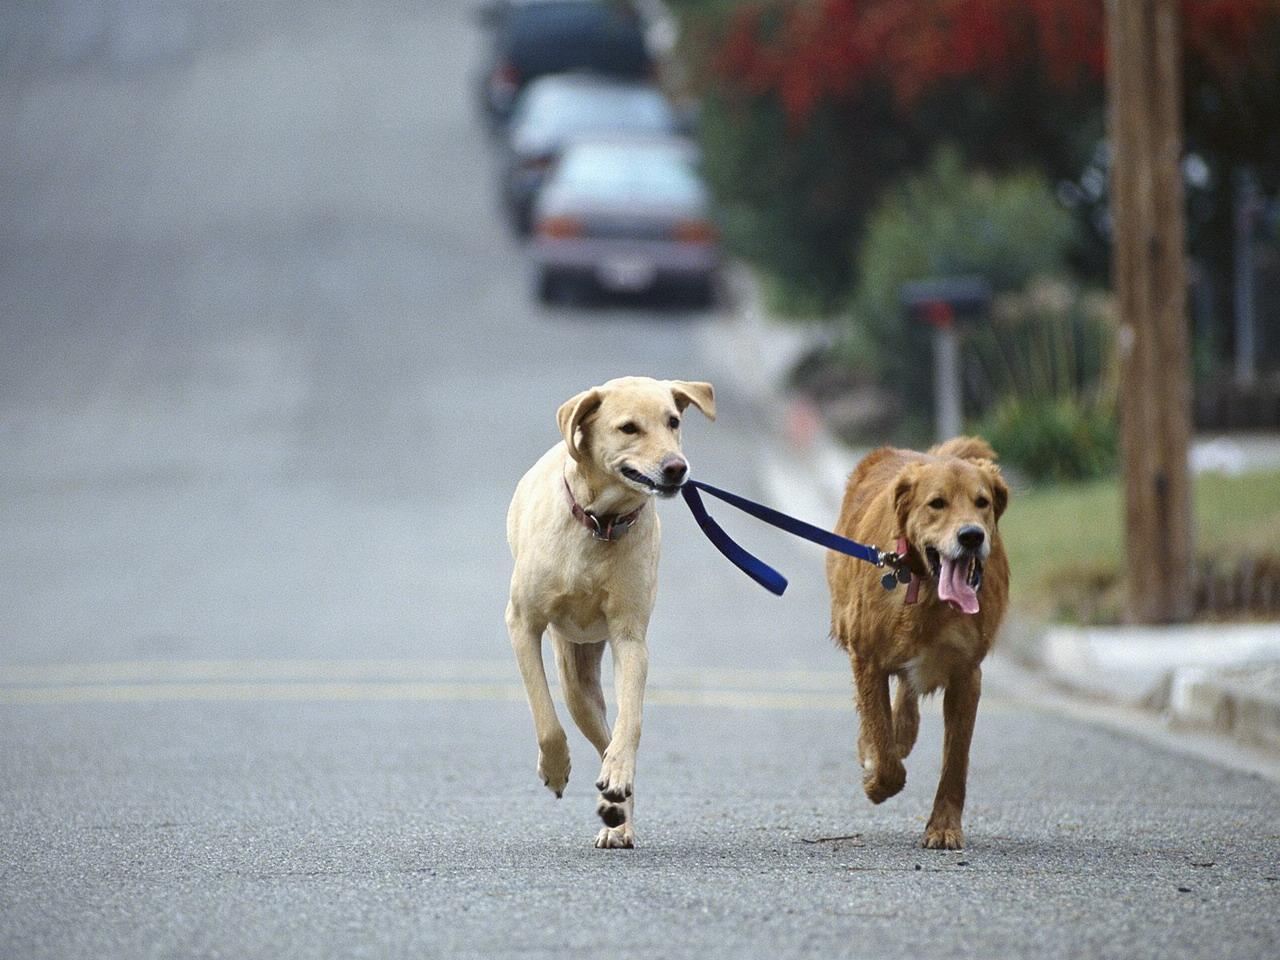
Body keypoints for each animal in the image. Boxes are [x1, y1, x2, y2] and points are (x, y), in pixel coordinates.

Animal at [504, 376, 716, 849]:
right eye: (628, 428)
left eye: (673, 422)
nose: (677, 468)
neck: (600, 525)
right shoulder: (522, 624)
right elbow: (544, 717)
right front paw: (555, 769)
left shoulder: (629, 637)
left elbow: (630, 721)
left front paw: (617, 779)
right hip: (575, 680)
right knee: (586, 722)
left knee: (610, 738)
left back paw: (617, 809)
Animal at [829, 435, 1008, 849]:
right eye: (937, 503)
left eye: (982, 502)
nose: (971, 536)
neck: (928, 592)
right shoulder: (867, 659)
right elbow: (880, 738)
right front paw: (877, 779)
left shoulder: (967, 674)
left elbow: (955, 760)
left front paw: (943, 826)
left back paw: (904, 731)